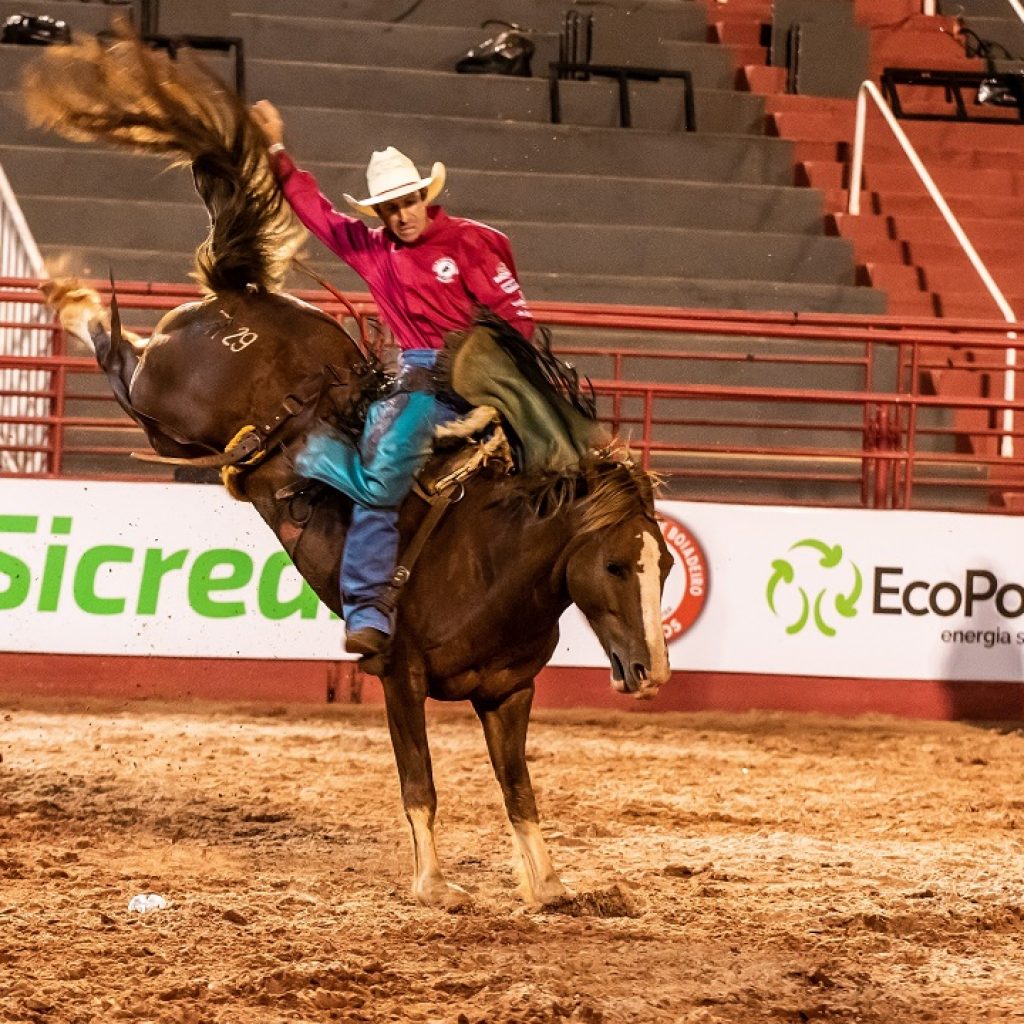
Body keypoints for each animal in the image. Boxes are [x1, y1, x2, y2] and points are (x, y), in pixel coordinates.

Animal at [22, 24, 671, 909]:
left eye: (664, 566)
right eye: (612, 564)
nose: (651, 674)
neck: (495, 559)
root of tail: (240, 292)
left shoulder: (509, 694)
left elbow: (519, 792)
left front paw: (546, 884)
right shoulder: (398, 674)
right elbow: (419, 783)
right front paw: (433, 883)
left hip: (177, 430)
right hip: (165, 402)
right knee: (118, 355)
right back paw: (71, 297)